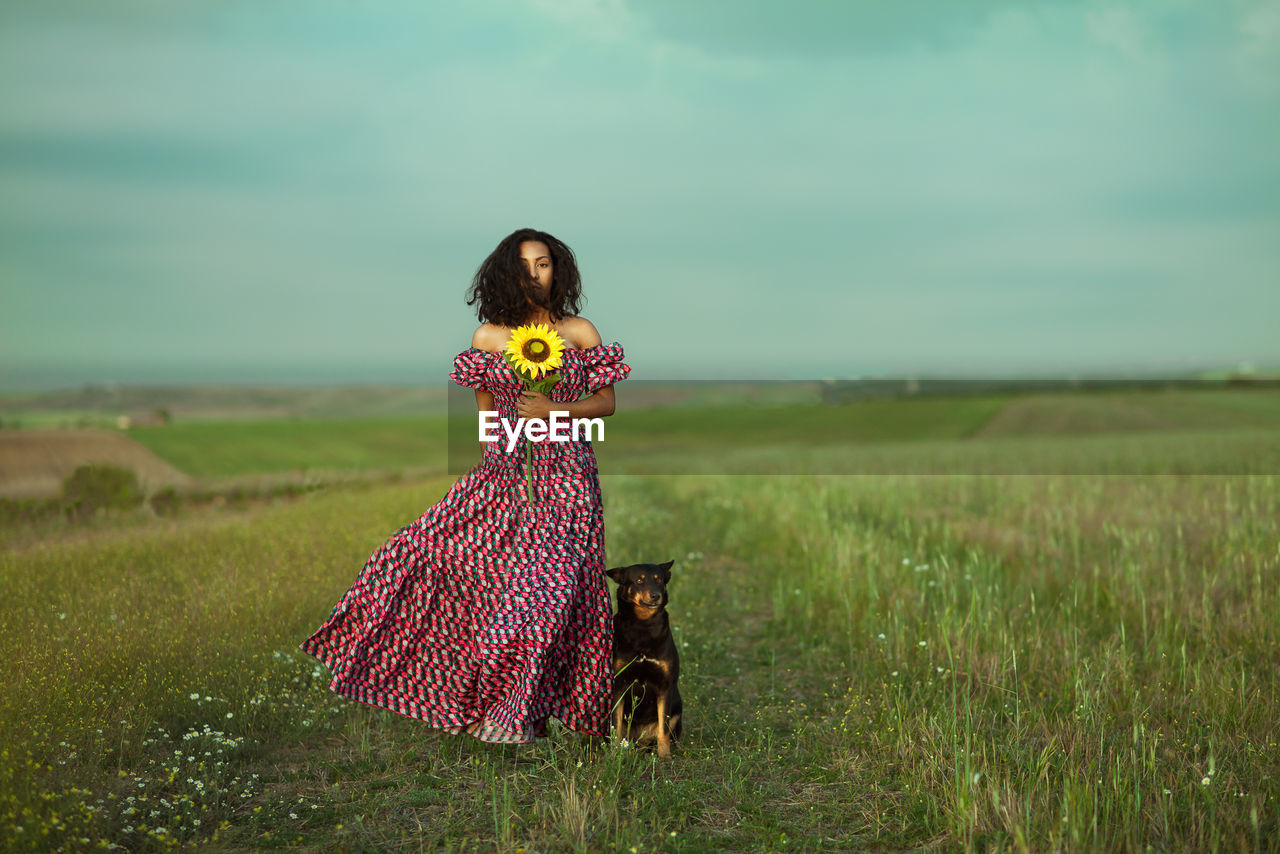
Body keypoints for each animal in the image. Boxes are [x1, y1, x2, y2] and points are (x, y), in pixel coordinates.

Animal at [606, 560, 686, 763]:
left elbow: (663, 730)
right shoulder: (619, 685)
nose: (656, 595)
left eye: (658, 580)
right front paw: (614, 755)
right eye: (639, 581)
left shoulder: (665, 686)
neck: (643, 625)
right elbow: (616, 727)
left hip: (677, 709)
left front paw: (664, 757)